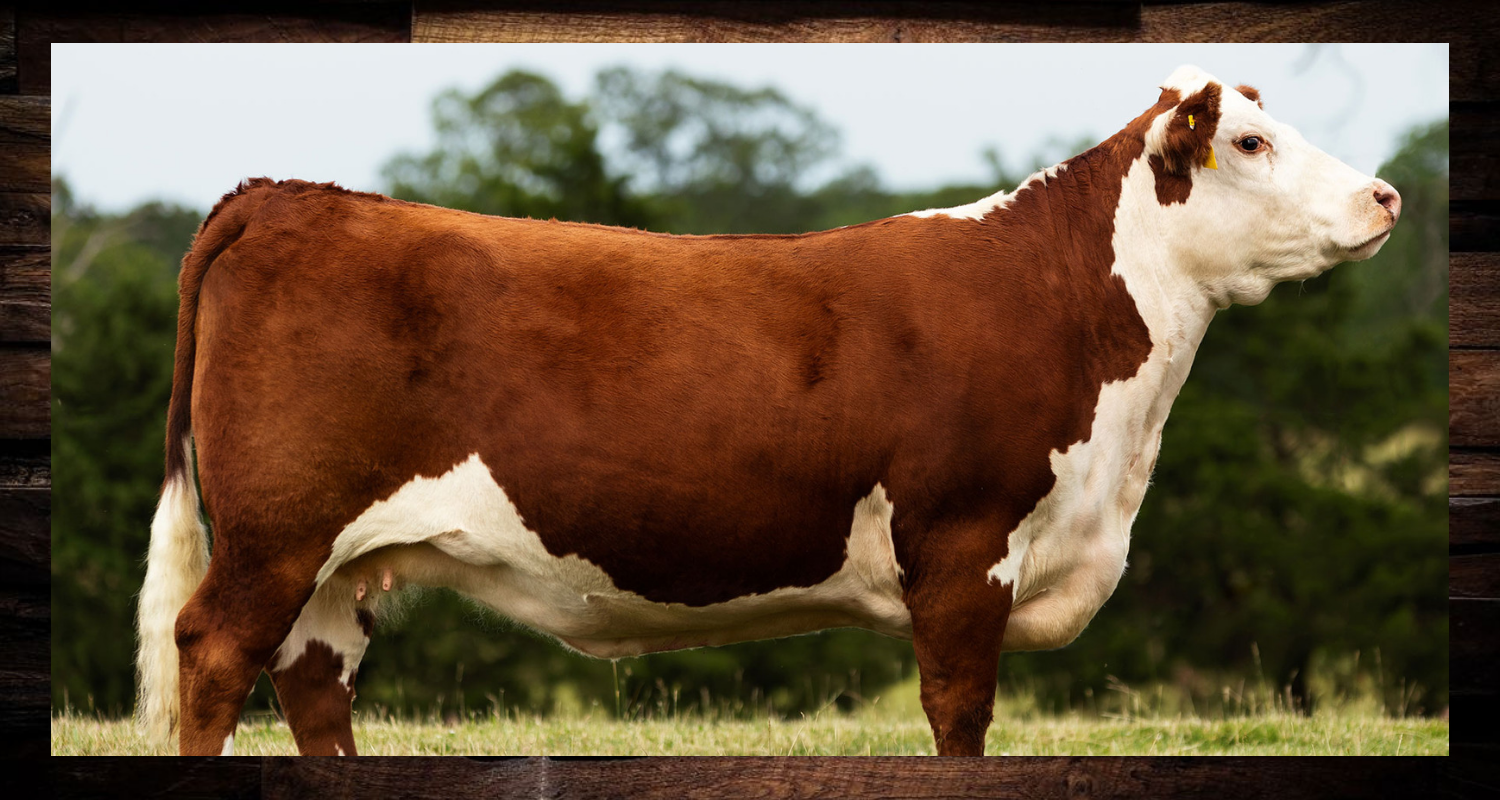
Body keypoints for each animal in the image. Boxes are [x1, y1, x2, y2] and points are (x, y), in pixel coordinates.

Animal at [136, 65, 1400, 756]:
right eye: (1251, 141)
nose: (1387, 195)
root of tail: (289, 194)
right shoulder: (961, 549)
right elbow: (959, 715)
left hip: (332, 565)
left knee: (312, 683)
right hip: (275, 535)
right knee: (211, 654)